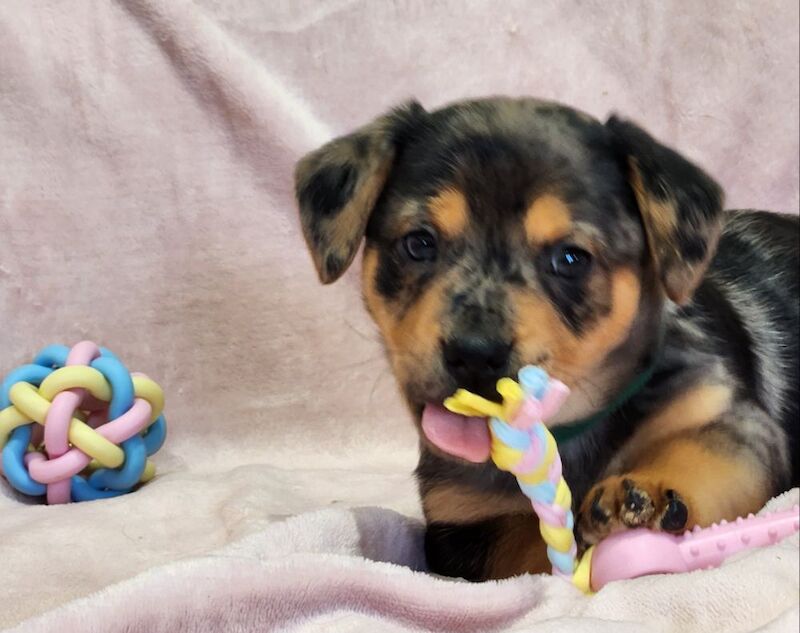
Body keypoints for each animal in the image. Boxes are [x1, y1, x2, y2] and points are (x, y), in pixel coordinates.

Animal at [296, 100, 800, 584]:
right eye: (419, 243)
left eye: (571, 258)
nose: (474, 354)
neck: (566, 430)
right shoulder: (459, 520)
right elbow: (531, 540)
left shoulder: (732, 423)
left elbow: (698, 461)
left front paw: (643, 496)